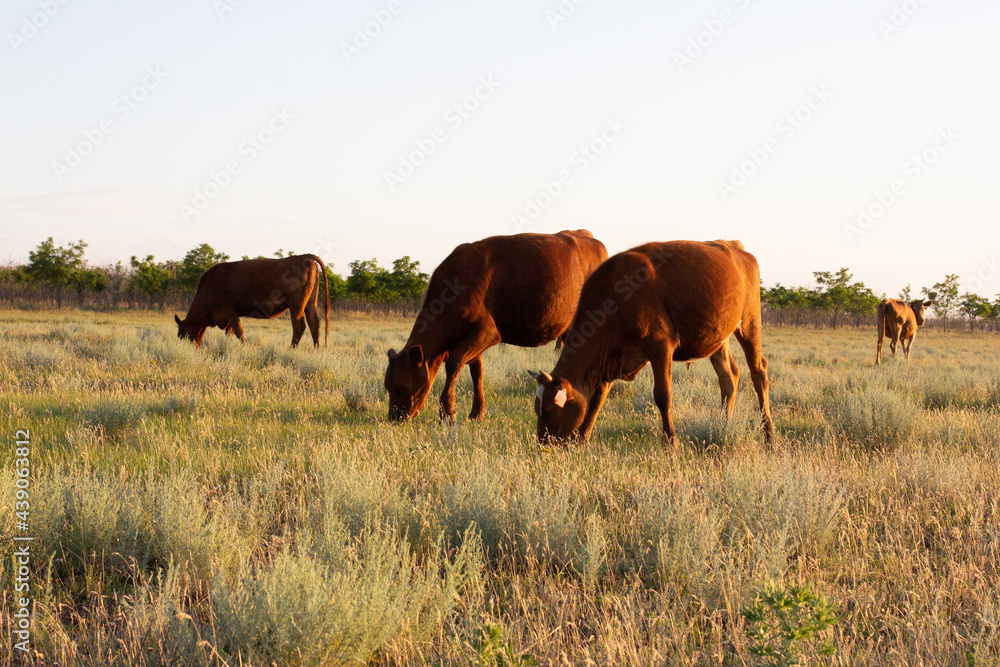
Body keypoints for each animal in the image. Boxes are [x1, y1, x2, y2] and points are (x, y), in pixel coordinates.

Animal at [172, 253, 328, 350]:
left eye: (182, 334)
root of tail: (304, 257)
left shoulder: (229, 311)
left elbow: (239, 331)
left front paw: (245, 348)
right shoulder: (230, 315)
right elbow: (230, 332)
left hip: (296, 305)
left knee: (299, 326)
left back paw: (291, 349)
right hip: (310, 303)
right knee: (314, 324)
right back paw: (316, 351)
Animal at [382, 230, 604, 422]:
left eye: (402, 387)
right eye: (387, 386)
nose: (395, 418)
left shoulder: (487, 332)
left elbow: (454, 364)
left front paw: (448, 413)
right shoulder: (473, 338)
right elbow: (476, 372)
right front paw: (477, 413)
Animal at [532, 240, 772, 448]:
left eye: (551, 410)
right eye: (537, 409)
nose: (542, 443)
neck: (616, 298)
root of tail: (734, 246)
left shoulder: (660, 347)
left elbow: (663, 396)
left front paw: (671, 442)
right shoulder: (613, 358)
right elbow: (597, 398)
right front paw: (582, 438)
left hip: (750, 325)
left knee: (758, 373)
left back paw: (768, 434)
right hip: (719, 338)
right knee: (728, 377)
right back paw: (723, 426)